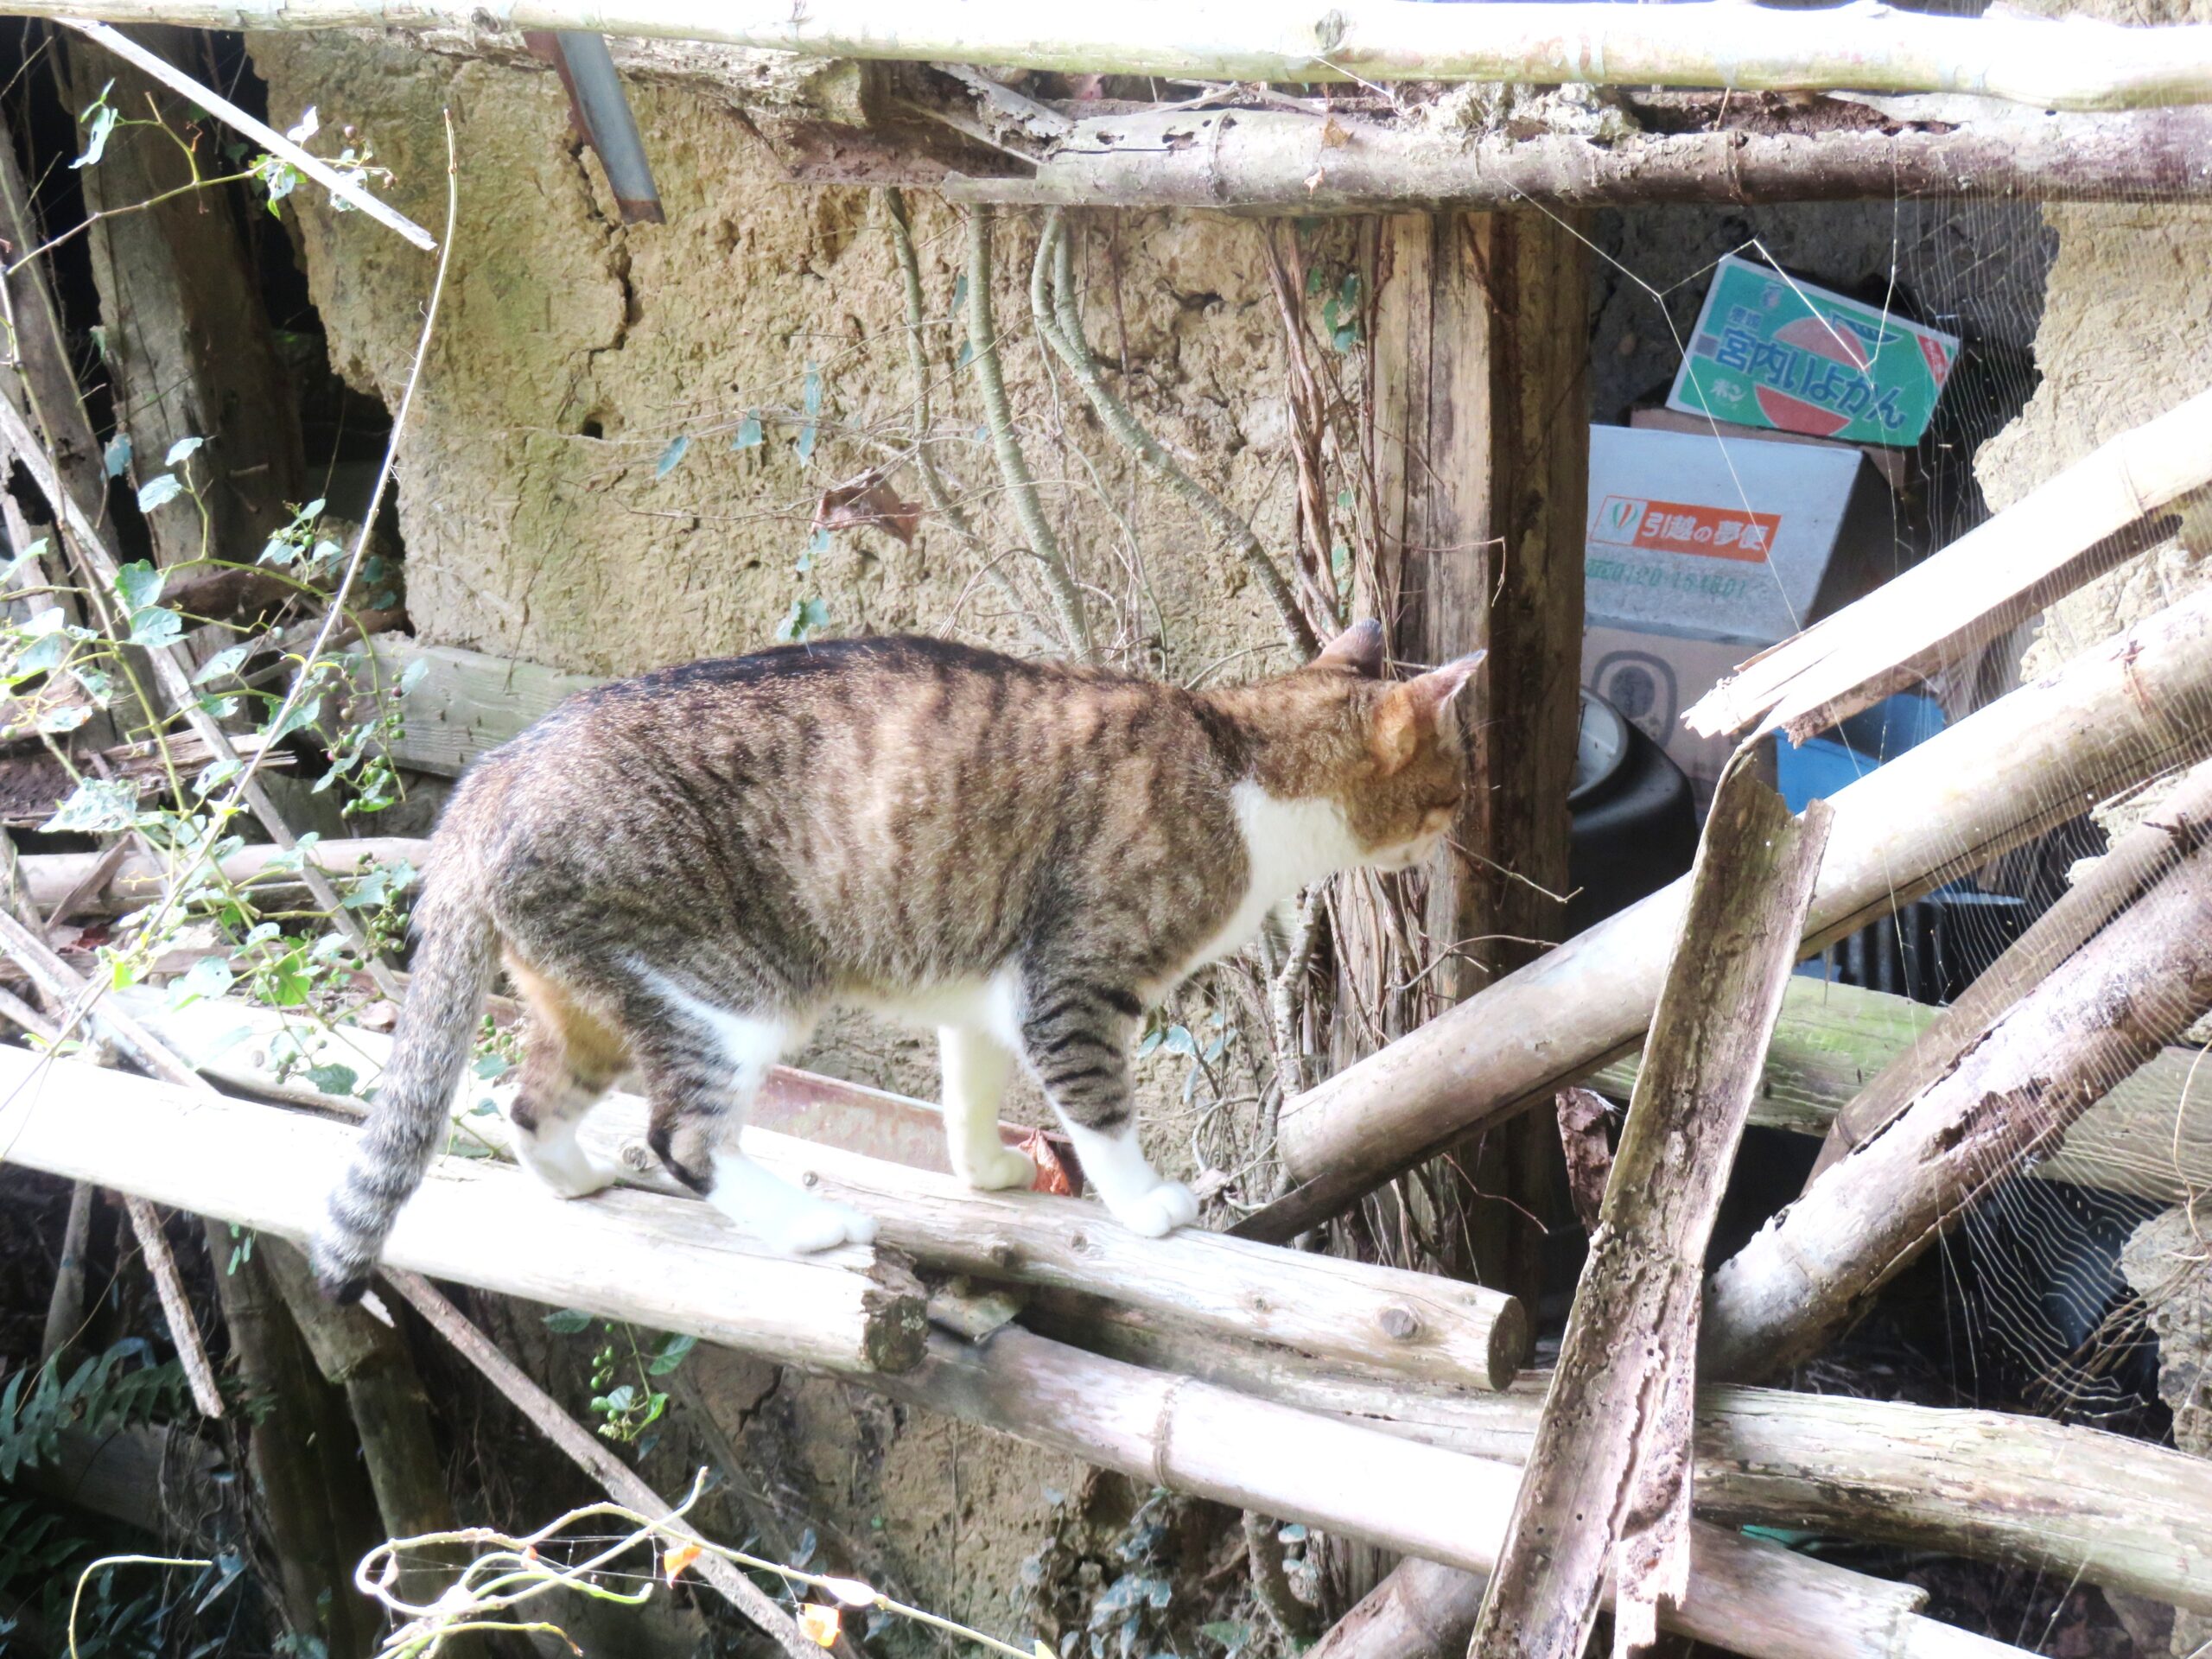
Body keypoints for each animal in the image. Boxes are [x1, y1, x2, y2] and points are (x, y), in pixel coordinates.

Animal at [307, 619, 1486, 1309]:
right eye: (1453, 786)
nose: (1462, 828)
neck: (1238, 764)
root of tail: (491, 775)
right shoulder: (1074, 983)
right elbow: (1101, 1110)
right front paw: (1147, 1205)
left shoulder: (986, 996)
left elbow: (970, 1094)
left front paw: (989, 1175)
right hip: (728, 997)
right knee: (682, 1135)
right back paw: (808, 1225)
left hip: (594, 1001)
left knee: (527, 1100)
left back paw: (575, 1180)